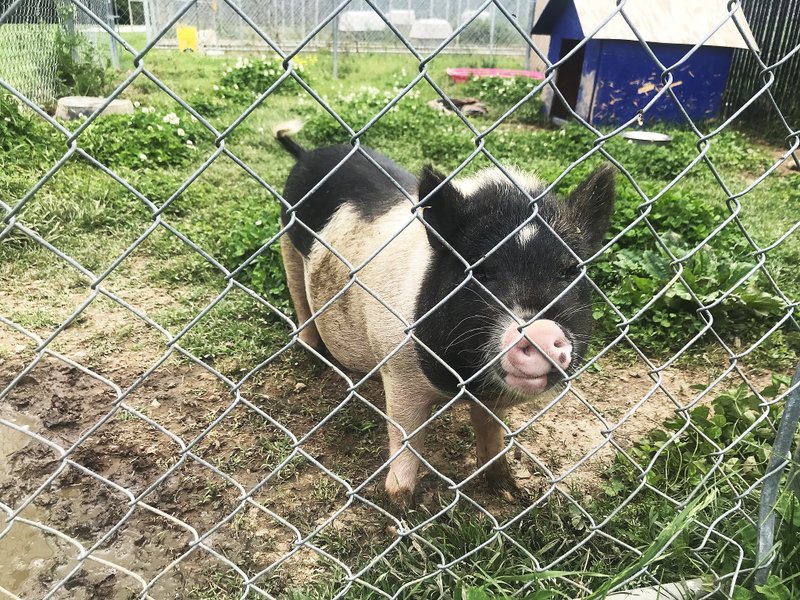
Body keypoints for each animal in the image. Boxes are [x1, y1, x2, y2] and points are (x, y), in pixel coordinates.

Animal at [272, 122, 616, 506]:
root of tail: (306, 154)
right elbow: (405, 439)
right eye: (480, 271)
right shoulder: (398, 369)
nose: (539, 329)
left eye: (571, 269)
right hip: (286, 239)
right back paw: (312, 353)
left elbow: (492, 434)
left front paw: (511, 493)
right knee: (299, 297)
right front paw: (402, 505)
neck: (464, 383)